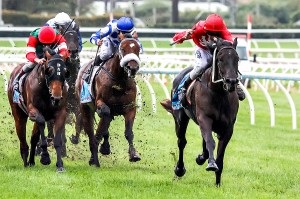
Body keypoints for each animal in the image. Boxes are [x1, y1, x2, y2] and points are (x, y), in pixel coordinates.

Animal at [161, 37, 240, 187]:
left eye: (237, 58)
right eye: (220, 59)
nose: (231, 82)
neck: (219, 93)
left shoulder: (228, 127)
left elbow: (220, 154)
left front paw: (217, 183)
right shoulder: (205, 118)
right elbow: (210, 142)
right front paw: (211, 164)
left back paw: (202, 157)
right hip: (180, 119)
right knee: (182, 142)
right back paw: (180, 169)